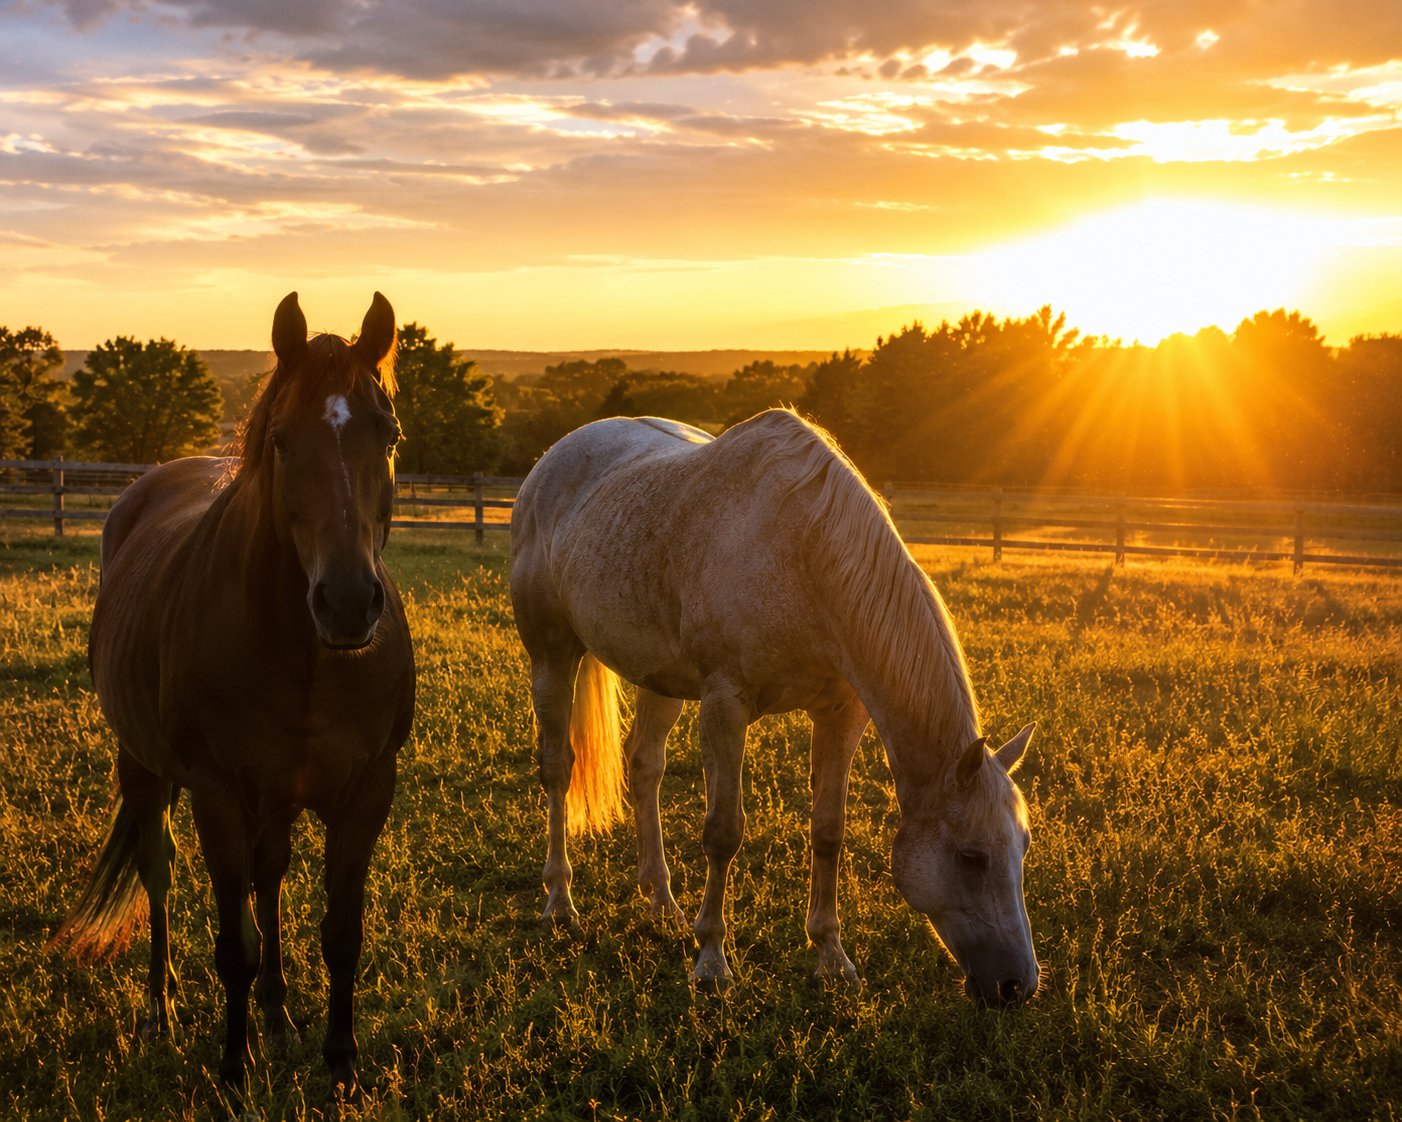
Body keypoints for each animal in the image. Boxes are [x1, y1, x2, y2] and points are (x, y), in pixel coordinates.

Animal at [51, 292, 417, 1105]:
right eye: (281, 440)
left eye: (389, 435)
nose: (348, 603)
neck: (306, 656)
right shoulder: (216, 792)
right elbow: (233, 945)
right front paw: (232, 1070)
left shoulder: (367, 791)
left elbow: (340, 933)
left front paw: (340, 1064)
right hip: (145, 771)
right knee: (158, 869)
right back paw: (161, 1010)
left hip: (273, 797)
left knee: (269, 877)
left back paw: (278, 1018)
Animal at [509, 409, 1038, 1004]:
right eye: (972, 856)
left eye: (1022, 847)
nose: (1018, 985)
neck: (802, 555)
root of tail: (553, 457)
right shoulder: (725, 704)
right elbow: (723, 831)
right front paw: (712, 960)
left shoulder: (841, 713)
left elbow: (828, 831)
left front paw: (831, 956)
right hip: (552, 655)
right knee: (558, 769)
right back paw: (560, 902)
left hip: (659, 679)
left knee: (644, 767)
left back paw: (662, 904)